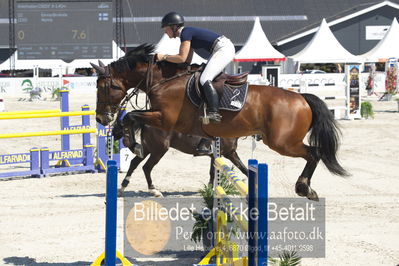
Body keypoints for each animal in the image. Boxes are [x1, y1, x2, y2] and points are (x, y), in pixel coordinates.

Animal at [112, 122, 248, 197]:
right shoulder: (228, 154)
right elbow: (242, 169)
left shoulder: (219, 155)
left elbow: (214, 173)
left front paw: (209, 189)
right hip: (158, 150)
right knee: (147, 167)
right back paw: (154, 191)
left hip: (147, 148)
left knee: (134, 163)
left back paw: (122, 188)